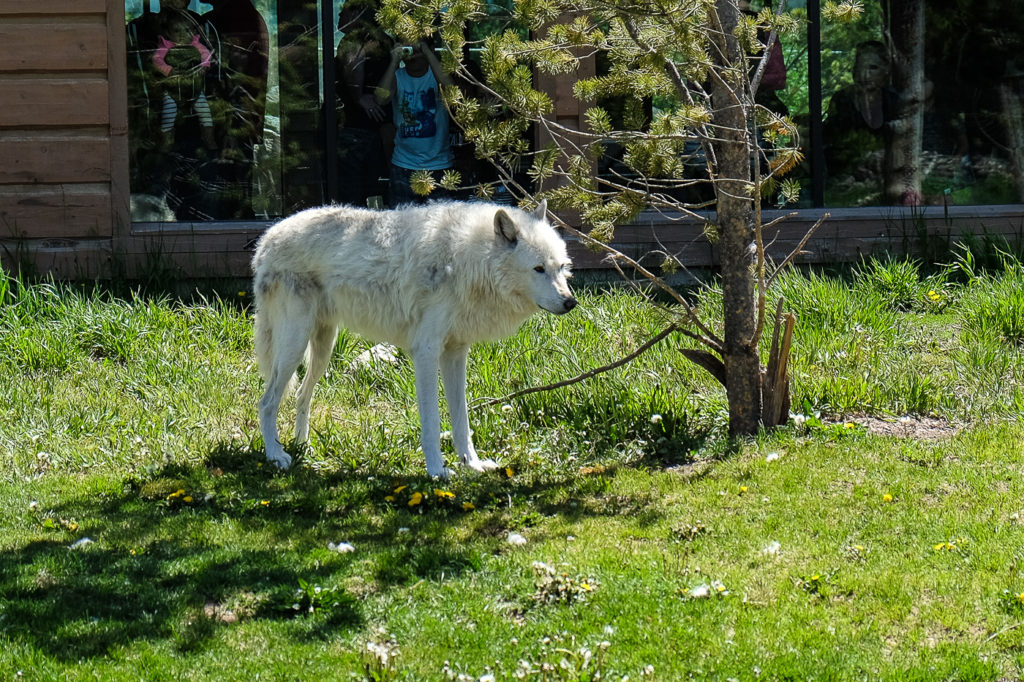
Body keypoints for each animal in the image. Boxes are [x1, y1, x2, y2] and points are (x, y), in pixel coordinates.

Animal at [248, 196, 577, 475]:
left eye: (561, 267)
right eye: (538, 269)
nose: (570, 302)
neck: (468, 259)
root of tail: (267, 239)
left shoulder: (456, 353)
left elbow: (461, 420)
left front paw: (471, 464)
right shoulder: (426, 353)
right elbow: (431, 420)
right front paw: (437, 471)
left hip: (322, 348)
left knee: (302, 395)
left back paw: (302, 447)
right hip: (294, 346)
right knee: (266, 402)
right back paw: (276, 455)